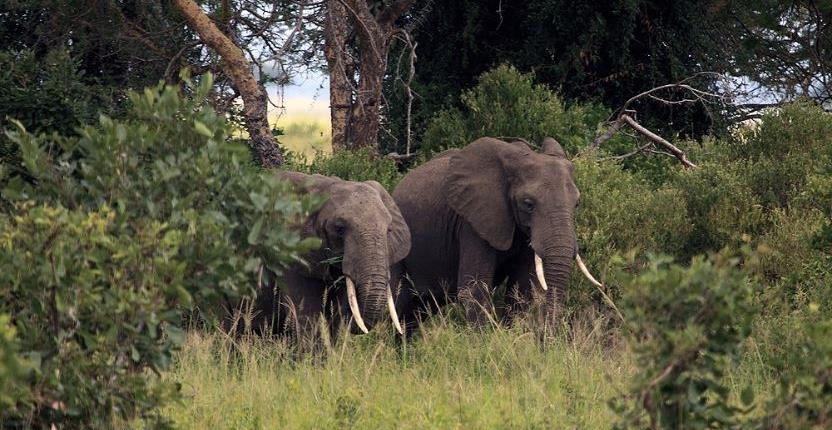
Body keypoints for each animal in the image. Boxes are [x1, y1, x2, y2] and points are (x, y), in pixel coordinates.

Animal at [391, 137, 601, 331]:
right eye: (528, 204)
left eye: (577, 203)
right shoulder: (472, 221)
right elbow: (474, 290)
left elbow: (521, 290)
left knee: (417, 310)